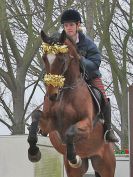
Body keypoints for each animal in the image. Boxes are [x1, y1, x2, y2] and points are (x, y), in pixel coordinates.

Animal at [27, 30, 116, 177]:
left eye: (62, 60)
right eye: (44, 58)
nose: (52, 95)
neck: (64, 94)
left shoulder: (87, 125)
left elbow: (70, 132)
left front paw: (74, 158)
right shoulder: (49, 125)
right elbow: (36, 115)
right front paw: (33, 152)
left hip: (106, 166)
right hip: (77, 171)